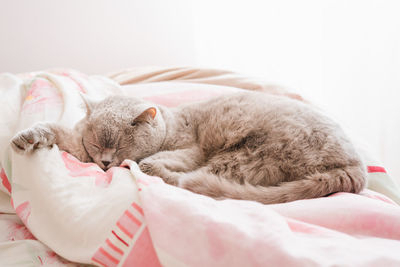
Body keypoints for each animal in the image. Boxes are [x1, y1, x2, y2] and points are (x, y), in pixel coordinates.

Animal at [10, 92, 368, 205]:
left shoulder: (190, 149)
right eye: (98, 143)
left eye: (121, 145)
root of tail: (356, 167)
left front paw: (140, 164)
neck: (170, 123)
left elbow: (157, 158)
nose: (106, 163)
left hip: (249, 154)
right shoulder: (81, 148)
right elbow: (60, 134)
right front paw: (26, 136)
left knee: (191, 181)